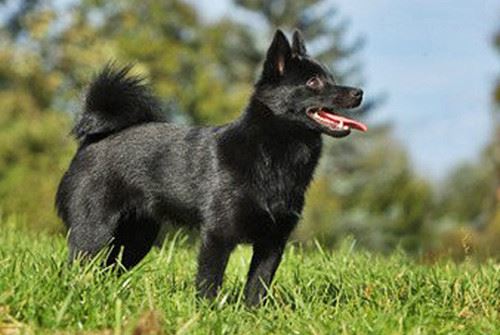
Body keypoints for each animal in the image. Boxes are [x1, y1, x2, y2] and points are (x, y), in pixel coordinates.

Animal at [56, 30, 366, 306]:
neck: (274, 155)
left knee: (107, 269)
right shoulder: (218, 236)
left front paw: (254, 318)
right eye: (313, 82)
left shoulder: (272, 242)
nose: (359, 92)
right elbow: (209, 282)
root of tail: (92, 140)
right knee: (77, 266)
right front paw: (206, 314)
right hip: (93, 232)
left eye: (331, 78)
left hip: (136, 238)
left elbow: (258, 287)